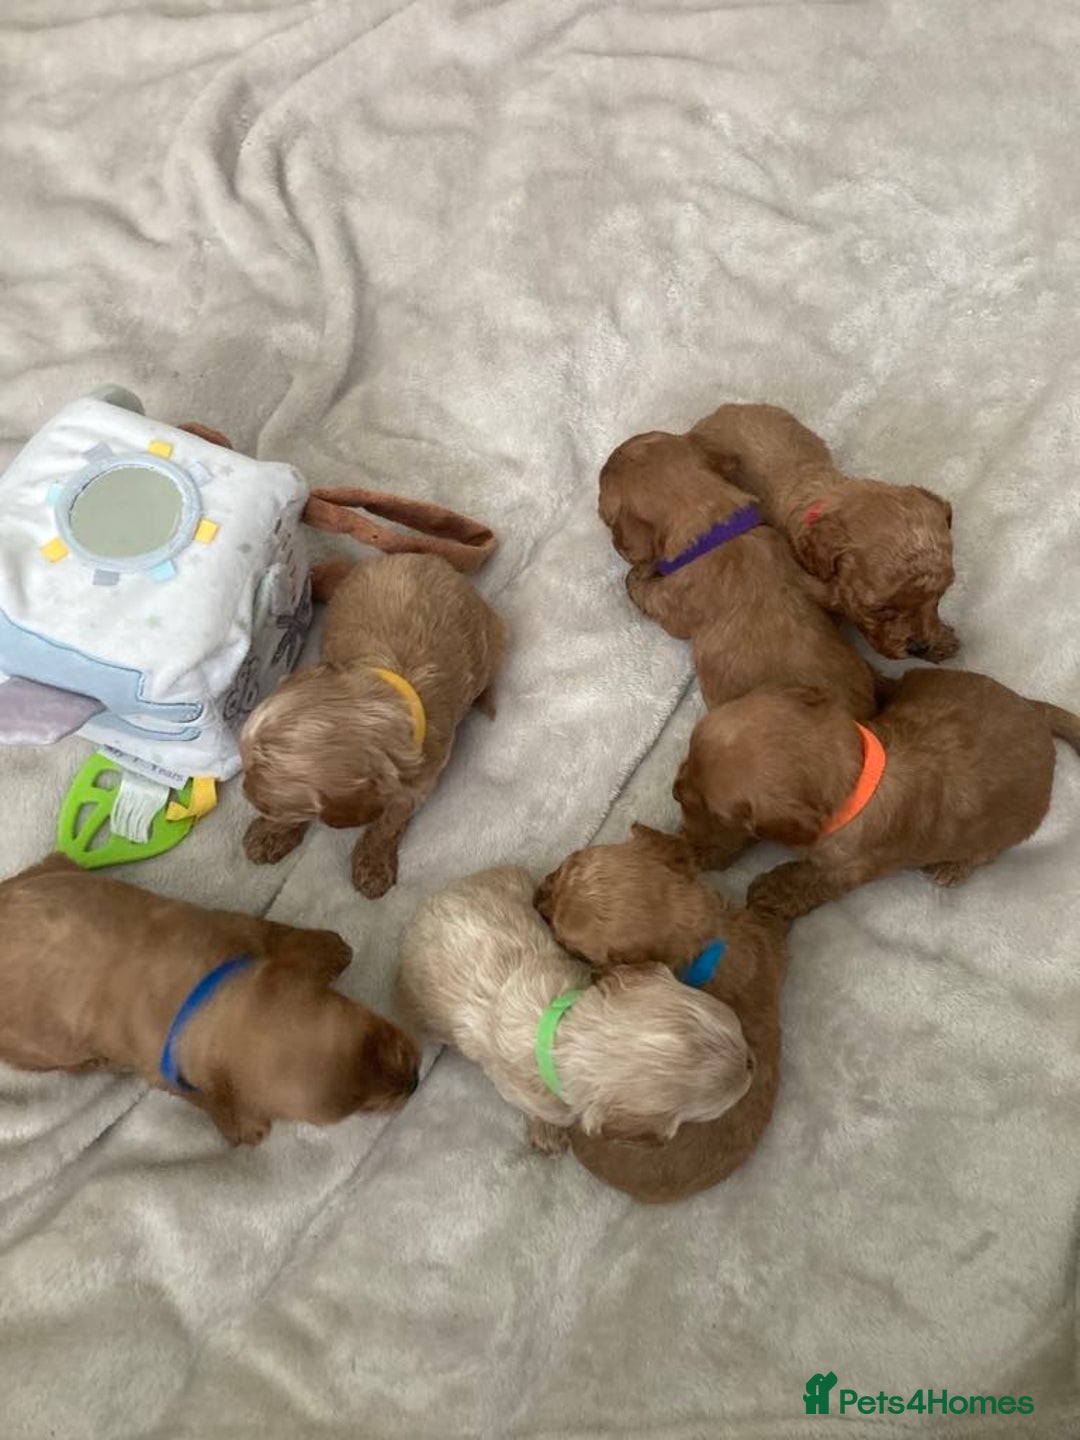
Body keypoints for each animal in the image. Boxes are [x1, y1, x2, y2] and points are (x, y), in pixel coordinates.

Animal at [0, 856, 420, 1145]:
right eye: (360, 1110)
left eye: (389, 1042)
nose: (415, 1084)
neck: (211, 999)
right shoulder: (164, 1071)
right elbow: (206, 1099)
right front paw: (245, 1127)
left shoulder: (237, 929)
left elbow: (276, 933)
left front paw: (328, 949)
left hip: (52, 873)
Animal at [241, 553, 506, 898]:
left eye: (269, 803)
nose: (244, 791)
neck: (388, 699)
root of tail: (433, 558)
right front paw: (271, 835)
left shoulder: (417, 785)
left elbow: (387, 825)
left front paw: (373, 865)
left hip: (491, 638)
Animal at [672, 671, 1080, 920]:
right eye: (688, 752)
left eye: (713, 807)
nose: (674, 790)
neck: (855, 778)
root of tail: (1037, 713)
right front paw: (700, 848)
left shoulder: (848, 868)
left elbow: (807, 880)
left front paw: (769, 890)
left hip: (1010, 830)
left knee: (985, 854)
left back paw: (952, 867)